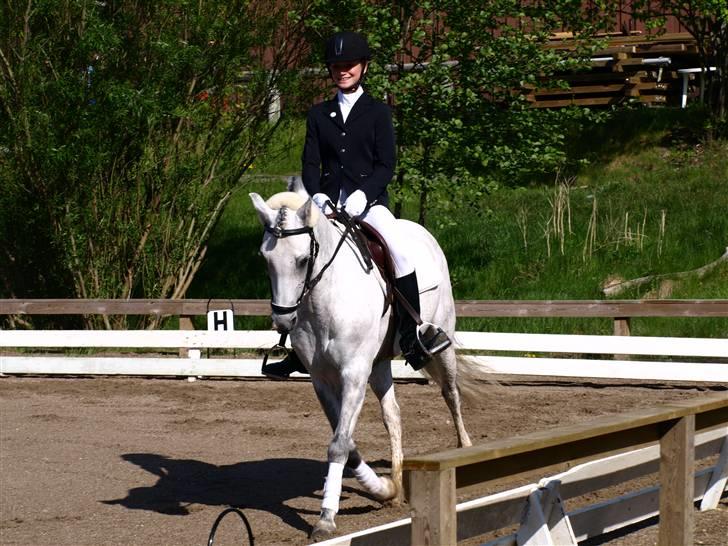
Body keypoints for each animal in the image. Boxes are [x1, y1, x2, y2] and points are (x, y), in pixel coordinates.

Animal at [250, 178, 472, 541]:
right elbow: (346, 440)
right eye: (265, 260)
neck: (324, 298)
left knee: (451, 394)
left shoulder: (353, 373)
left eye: (302, 260)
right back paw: (395, 483)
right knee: (393, 415)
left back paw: (465, 448)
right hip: (379, 364)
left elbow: (340, 444)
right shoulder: (322, 378)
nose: (283, 321)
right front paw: (381, 488)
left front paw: (326, 518)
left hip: (442, 345)